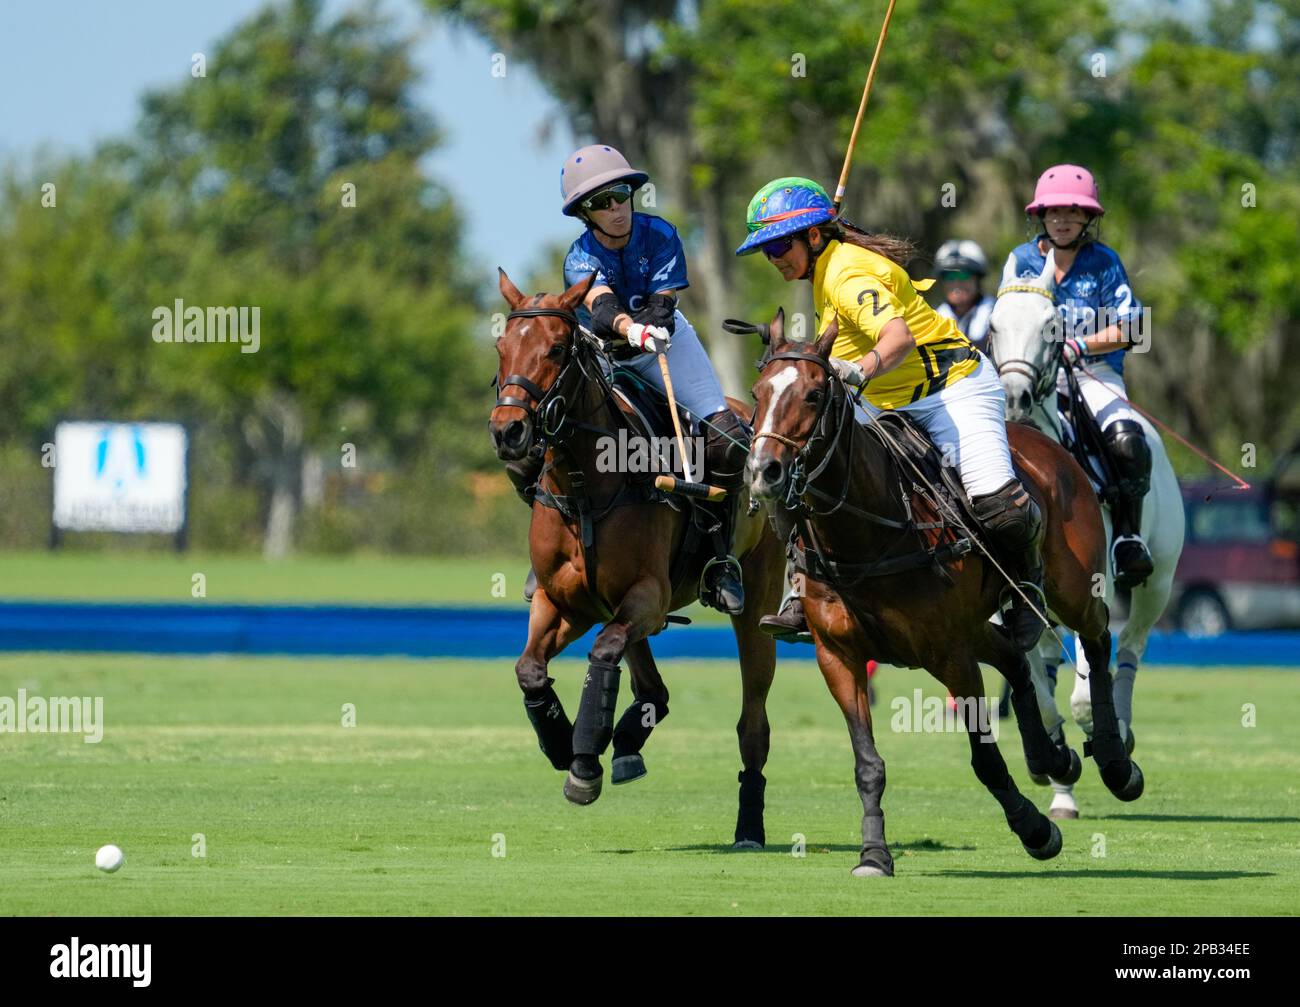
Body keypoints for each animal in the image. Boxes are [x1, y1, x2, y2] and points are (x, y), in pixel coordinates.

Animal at [491, 270, 785, 852]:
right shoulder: (565, 602)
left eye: (555, 349)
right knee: (654, 689)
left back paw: (749, 826)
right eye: (501, 347)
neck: (585, 485)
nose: (508, 431)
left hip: (754, 606)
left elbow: (602, 654)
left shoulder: (647, 596)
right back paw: (627, 742)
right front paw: (563, 745)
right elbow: (530, 669)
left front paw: (583, 763)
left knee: (753, 725)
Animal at [748, 310, 1144, 878]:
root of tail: (1046, 444)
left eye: (815, 395)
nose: (764, 471)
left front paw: (1036, 830)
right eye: (757, 393)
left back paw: (1115, 763)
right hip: (976, 625)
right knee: (1015, 656)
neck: (866, 533)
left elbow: (984, 759)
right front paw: (874, 854)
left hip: (1068, 587)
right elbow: (867, 764)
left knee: (1096, 634)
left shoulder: (949, 655)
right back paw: (1053, 758)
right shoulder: (838, 656)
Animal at [982, 249, 1190, 821]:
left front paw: (1105, 739)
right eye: (993, 326)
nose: (1014, 397)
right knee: (1053, 661)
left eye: (1052, 327)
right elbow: (1035, 682)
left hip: (1157, 581)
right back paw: (1062, 794)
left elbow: (1080, 696)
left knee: (1132, 648)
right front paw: (1054, 760)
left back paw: (1120, 728)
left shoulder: (1093, 585)